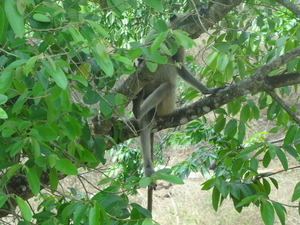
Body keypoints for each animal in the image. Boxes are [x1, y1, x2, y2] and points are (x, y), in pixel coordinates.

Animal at [132, 13, 226, 211]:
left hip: (167, 105)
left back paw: (137, 110)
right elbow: (144, 51)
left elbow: (180, 68)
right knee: (146, 118)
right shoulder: (154, 34)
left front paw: (208, 91)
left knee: (166, 88)